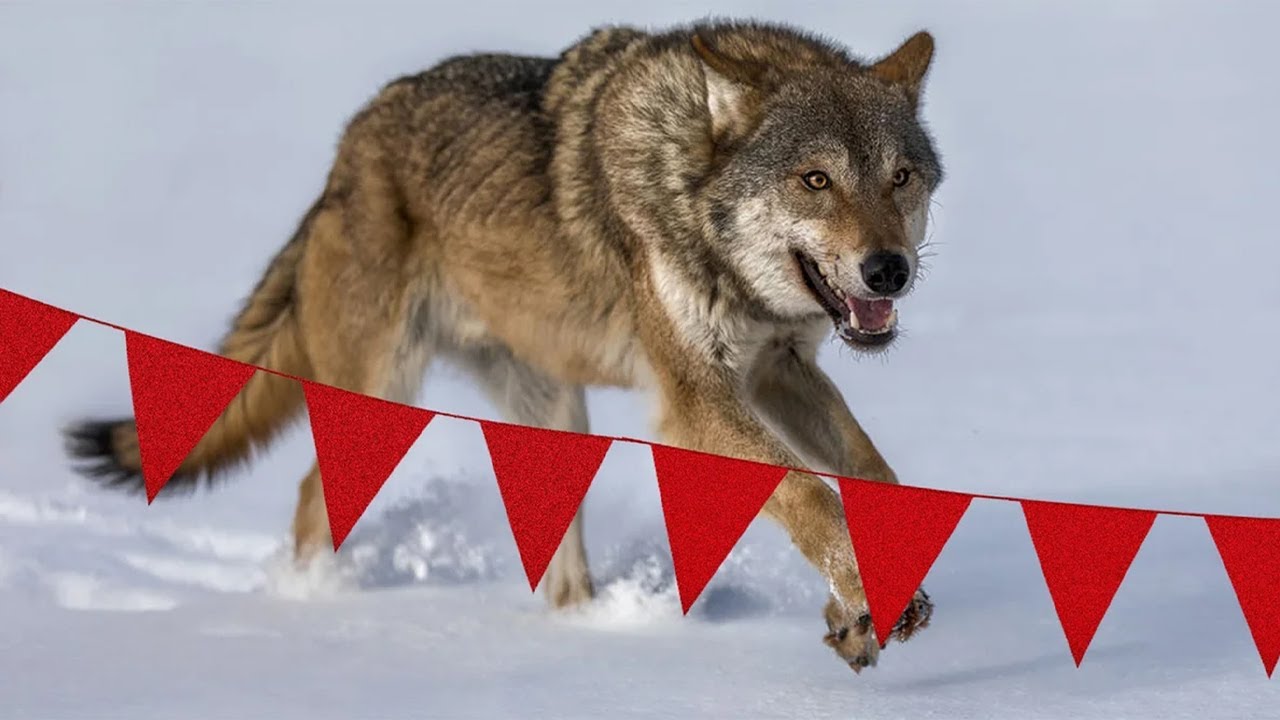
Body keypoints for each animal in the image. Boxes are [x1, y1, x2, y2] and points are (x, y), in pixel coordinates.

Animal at [64, 19, 944, 674]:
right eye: (815, 180)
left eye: (900, 177)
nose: (889, 270)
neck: (690, 189)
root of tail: (345, 154)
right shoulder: (696, 398)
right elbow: (806, 491)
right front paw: (868, 596)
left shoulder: (777, 370)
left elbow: (871, 473)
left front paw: (867, 600)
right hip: (384, 394)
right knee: (314, 494)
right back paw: (317, 610)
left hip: (555, 418)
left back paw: (582, 633)